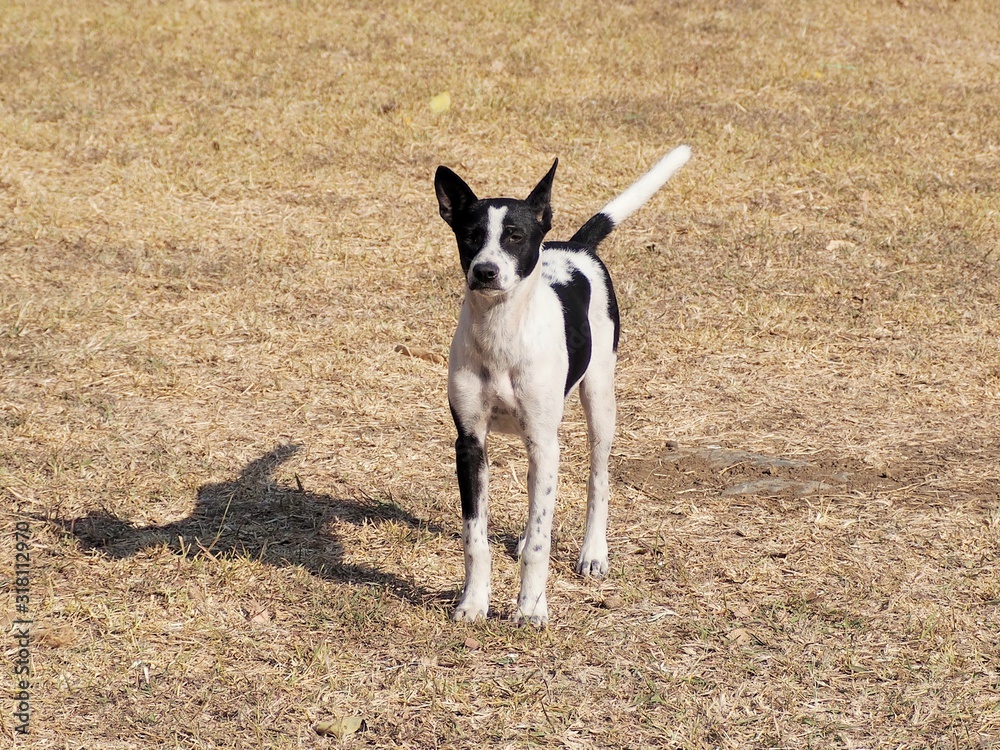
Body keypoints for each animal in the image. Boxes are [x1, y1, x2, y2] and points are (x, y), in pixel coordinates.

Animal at [434, 144, 692, 624]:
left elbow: (541, 539)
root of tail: (575, 245)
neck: (501, 333)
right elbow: (475, 537)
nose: (485, 272)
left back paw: (593, 553)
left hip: (600, 402)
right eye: (470, 236)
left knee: (597, 480)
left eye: (515, 236)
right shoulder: (470, 443)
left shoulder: (542, 438)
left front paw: (532, 608)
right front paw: (473, 603)